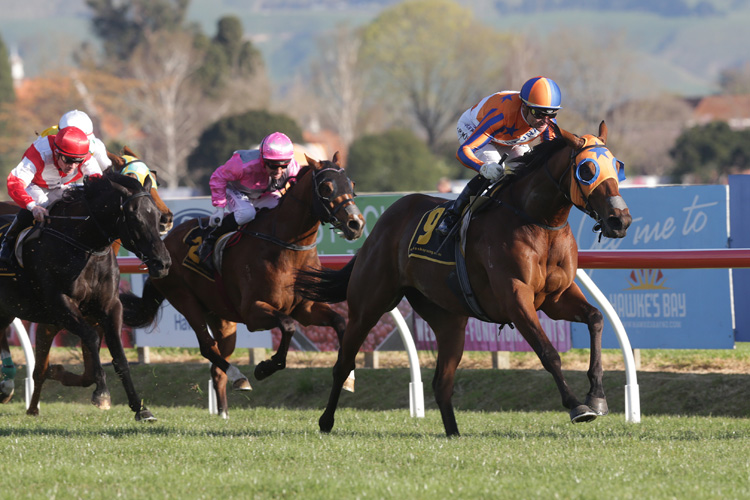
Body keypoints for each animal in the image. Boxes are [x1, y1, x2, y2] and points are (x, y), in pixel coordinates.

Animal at [122, 155, 366, 418]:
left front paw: (349, 377)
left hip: (221, 318)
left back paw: (224, 412)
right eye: (326, 188)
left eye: (351, 184)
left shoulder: (306, 309)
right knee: (207, 347)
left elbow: (340, 322)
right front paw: (265, 367)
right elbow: (288, 326)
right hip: (184, 298)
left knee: (217, 364)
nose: (356, 224)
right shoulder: (253, 312)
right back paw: (239, 377)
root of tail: (162, 245)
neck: (286, 248)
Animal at [298, 122, 636, 438]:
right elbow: (548, 352)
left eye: (617, 165)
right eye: (587, 169)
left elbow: (595, 318)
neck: (538, 222)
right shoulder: (516, 298)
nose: (620, 220)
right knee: (344, 364)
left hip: (448, 320)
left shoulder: (556, 297)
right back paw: (326, 421)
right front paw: (577, 405)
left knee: (441, 381)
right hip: (368, 305)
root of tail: (380, 224)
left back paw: (453, 433)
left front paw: (597, 397)